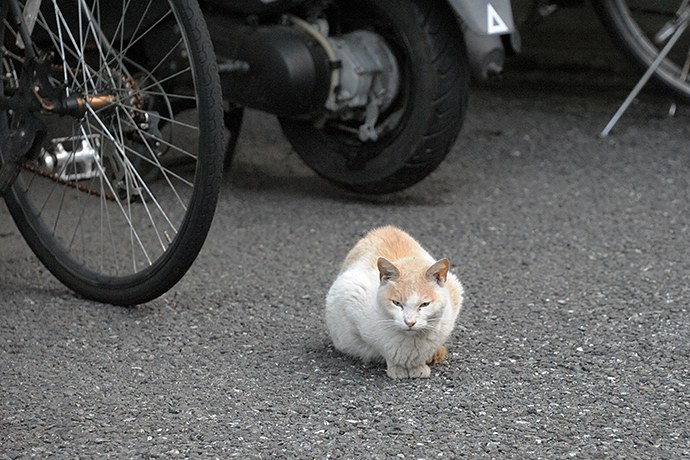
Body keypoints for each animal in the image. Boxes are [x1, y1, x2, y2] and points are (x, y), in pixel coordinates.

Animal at [324, 225, 462, 380]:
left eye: (424, 304)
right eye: (397, 303)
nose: (410, 322)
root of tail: (386, 228)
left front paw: (418, 365)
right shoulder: (350, 292)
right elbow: (383, 349)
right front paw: (397, 367)